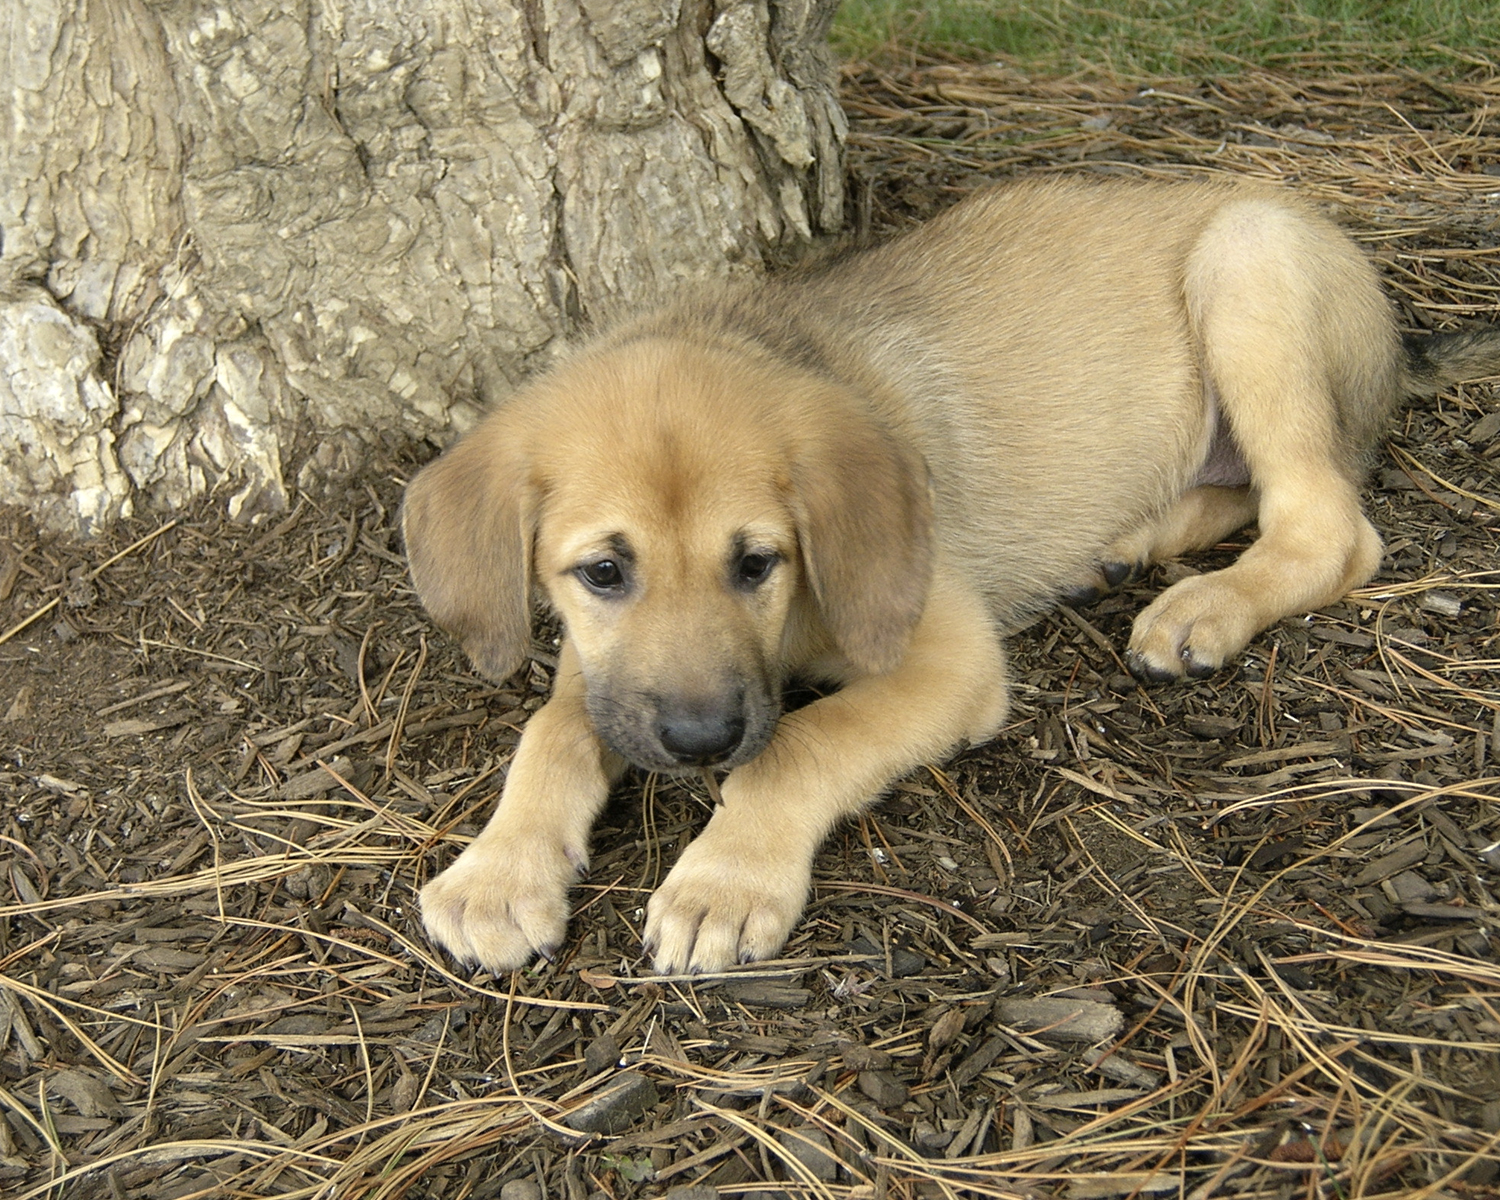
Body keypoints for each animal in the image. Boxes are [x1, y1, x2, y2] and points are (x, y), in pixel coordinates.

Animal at [405, 178, 1500, 972]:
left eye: (758, 562)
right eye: (601, 573)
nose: (699, 741)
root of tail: (1398, 331)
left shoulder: (947, 660)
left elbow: (799, 744)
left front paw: (727, 879)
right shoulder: (607, 676)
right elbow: (554, 730)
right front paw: (499, 873)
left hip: (1250, 264)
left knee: (1328, 523)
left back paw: (1204, 608)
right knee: (1256, 495)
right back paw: (1132, 540)